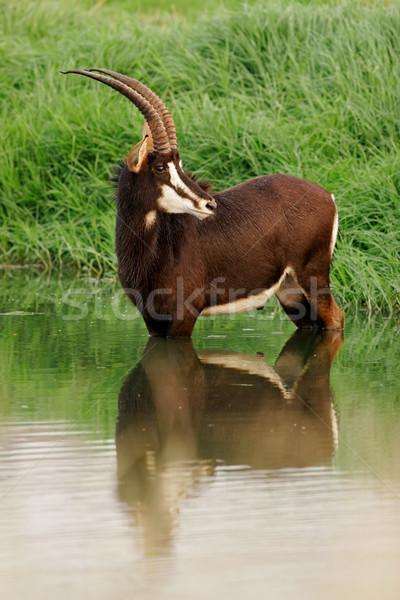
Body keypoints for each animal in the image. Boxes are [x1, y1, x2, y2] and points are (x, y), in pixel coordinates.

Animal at [62, 69, 344, 338]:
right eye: (161, 167)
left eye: (179, 165)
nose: (210, 204)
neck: (154, 250)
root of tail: (327, 196)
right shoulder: (151, 319)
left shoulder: (184, 314)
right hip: (289, 291)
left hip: (313, 276)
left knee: (335, 318)